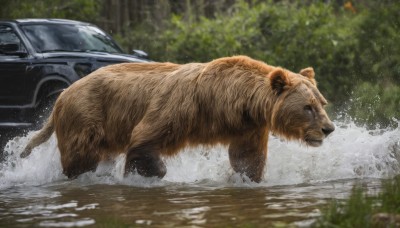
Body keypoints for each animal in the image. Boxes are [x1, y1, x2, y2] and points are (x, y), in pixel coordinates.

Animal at [21, 56, 334, 183]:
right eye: (307, 107)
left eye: (322, 102)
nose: (328, 128)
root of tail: (62, 96)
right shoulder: (182, 106)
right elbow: (146, 137)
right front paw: (149, 172)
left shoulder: (248, 127)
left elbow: (247, 158)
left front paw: (249, 177)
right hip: (87, 115)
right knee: (80, 157)